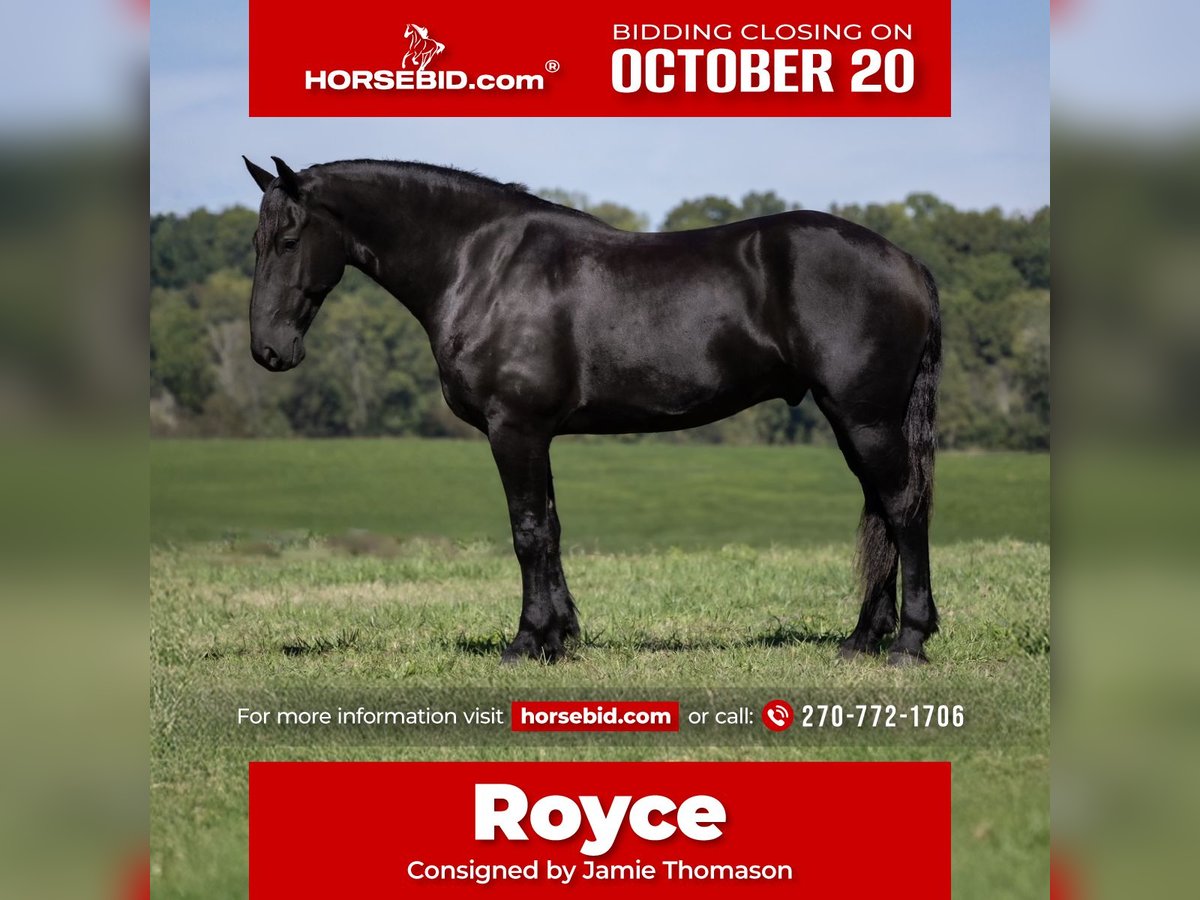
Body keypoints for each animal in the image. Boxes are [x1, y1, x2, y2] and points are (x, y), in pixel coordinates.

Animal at [241, 155, 943, 667]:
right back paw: (861, 639)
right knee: (882, 512)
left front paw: (527, 642)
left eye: (289, 238)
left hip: (865, 417)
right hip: (856, 422)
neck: (484, 266)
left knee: (903, 509)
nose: (268, 350)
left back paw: (908, 641)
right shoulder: (536, 434)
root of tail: (907, 262)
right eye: (256, 240)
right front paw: (560, 637)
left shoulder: (514, 429)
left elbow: (527, 532)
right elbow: (550, 527)